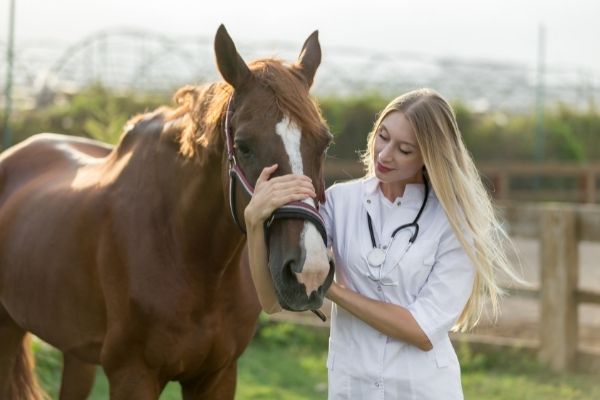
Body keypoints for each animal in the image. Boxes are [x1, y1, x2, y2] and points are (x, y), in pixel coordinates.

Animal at [0, 25, 332, 400]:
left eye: (324, 143)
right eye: (244, 146)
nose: (309, 271)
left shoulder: (218, 376)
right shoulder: (132, 376)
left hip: (75, 352)